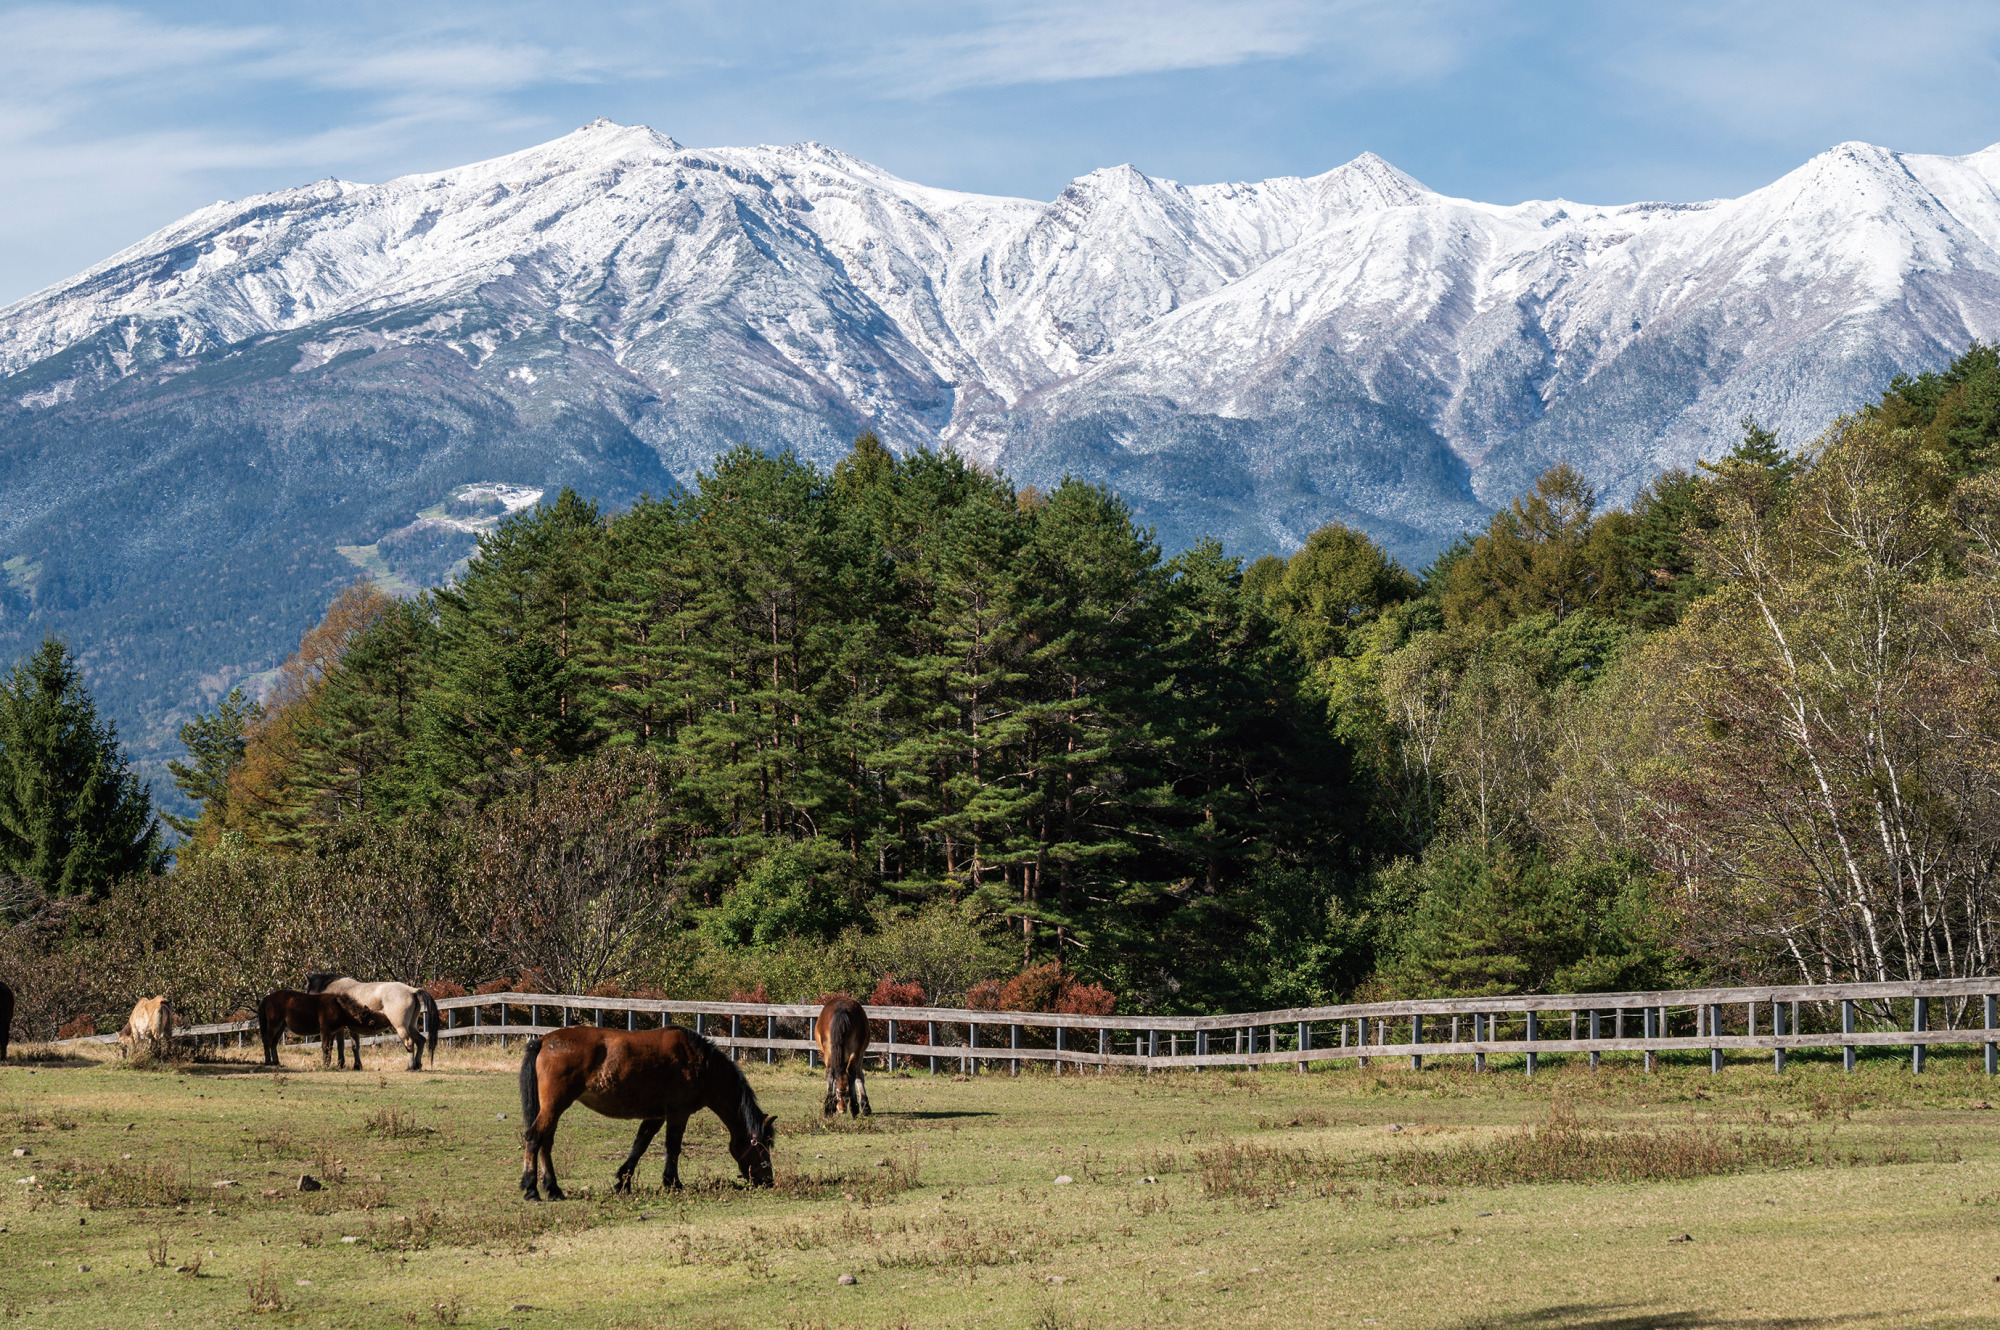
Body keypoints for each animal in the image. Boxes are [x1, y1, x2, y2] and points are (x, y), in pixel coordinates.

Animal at [258, 984, 394, 1072]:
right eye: (373, 1021)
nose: (389, 1020)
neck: (339, 1008)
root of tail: (267, 997)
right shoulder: (325, 1030)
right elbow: (325, 1047)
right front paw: (325, 1064)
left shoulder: (333, 1032)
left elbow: (331, 1047)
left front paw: (329, 1063)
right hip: (274, 1024)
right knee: (267, 1039)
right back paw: (268, 1061)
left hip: (281, 1026)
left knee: (274, 1042)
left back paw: (276, 1061)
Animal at [300, 972, 442, 1072]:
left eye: (306, 989)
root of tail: (411, 990)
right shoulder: (352, 1029)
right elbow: (354, 1046)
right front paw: (357, 1066)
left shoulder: (339, 1029)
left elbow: (339, 1045)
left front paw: (341, 1064)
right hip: (411, 1026)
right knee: (421, 1041)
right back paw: (418, 1065)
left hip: (401, 1027)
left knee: (409, 1042)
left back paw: (411, 1066)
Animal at [520, 1020, 776, 1200]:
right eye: (761, 1146)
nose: (768, 1181)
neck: (703, 1065)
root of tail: (543, 1041)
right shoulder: (678, 1114)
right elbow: (673, 1147)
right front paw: (673, 1182)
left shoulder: (656, 1116)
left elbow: (639, 1146)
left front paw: (623, 1182)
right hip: (555, 1106)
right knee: (534, 1137)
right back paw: (532, 1189)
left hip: (553, 1109)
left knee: (546, 1142)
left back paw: (553, 1188)